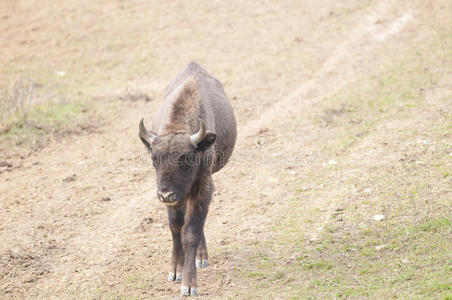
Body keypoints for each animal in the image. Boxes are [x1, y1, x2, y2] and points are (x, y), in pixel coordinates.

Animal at [138, 61, 237, 296]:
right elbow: (176, 228)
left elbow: (191, 232)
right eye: (154, 158)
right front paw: (175, 271)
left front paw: (189, 284)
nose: (165, 194)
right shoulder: (177, 199)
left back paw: (201, 257)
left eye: (187, 157)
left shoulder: (202, 188)